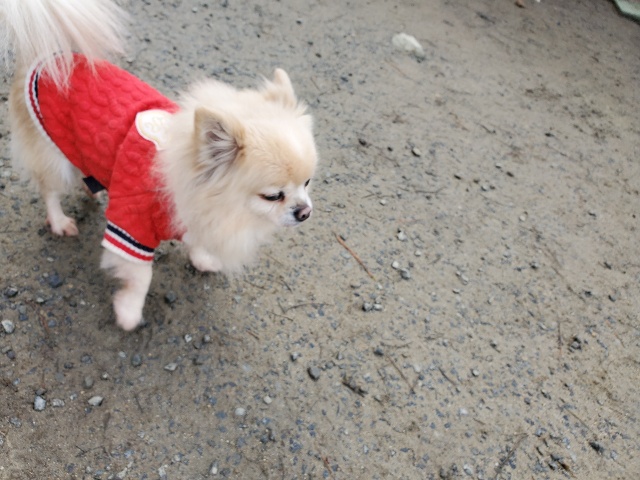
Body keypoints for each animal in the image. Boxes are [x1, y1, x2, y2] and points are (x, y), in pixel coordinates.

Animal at [1, 0, 317, 330]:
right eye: (273, 196)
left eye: (307, 183)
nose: (305, 212)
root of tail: (48, 56)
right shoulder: (131, 228)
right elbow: (142, 276)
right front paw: (129, 312)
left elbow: (196, 241)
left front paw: (202, 259)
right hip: (53, 156)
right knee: (50, 191)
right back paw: (60, 221)